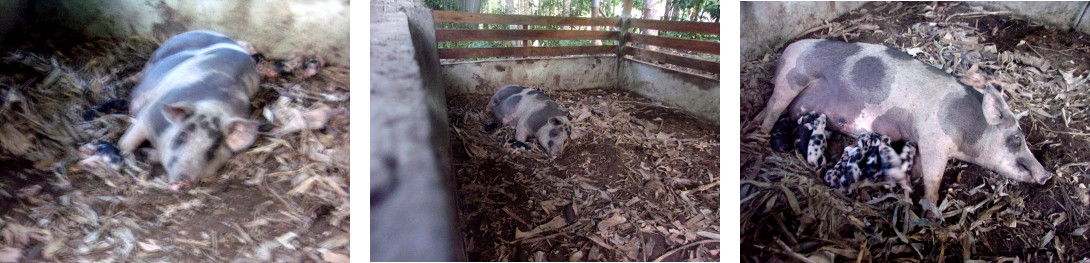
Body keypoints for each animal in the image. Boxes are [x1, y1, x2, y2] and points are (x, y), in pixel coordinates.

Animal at [118, 29, 261, 187]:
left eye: (211, 151)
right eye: (181, 137)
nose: (183, 180)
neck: (213, 107)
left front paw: (145, 153)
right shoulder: (148, 116)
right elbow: (125, 143)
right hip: (160, 53)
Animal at [754, 37, 1050, 204]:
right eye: (1016, 138)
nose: (1046, 175)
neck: (969, 130)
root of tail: (789, 48)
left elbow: (919, 170)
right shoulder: (934, 139)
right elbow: (934, 177)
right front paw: (934, 214)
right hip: (793, 77)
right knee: (772, 108)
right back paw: (760, 135)